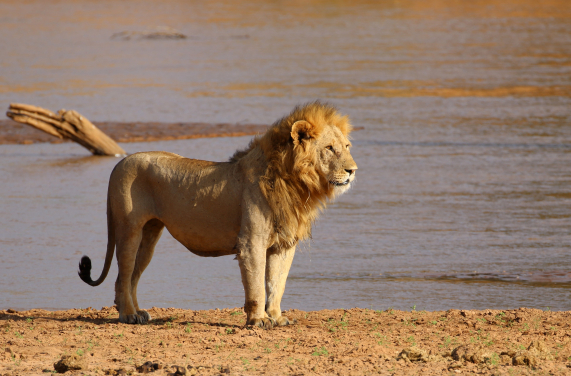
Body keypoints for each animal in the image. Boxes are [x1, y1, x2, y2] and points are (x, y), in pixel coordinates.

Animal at [79, 101, 360, 328]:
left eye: (347, 146)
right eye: (330, 148)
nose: (353, 170)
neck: (294, 182)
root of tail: (119, 163)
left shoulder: (284, 244)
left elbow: (276, 284)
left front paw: (277, 318)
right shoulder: (251, 242)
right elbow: (257, 285)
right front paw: (258, 320)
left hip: (149, 236)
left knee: (133, 277)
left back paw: (138, 313)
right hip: (129, 229)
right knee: (122, 276)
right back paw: (128, 315)